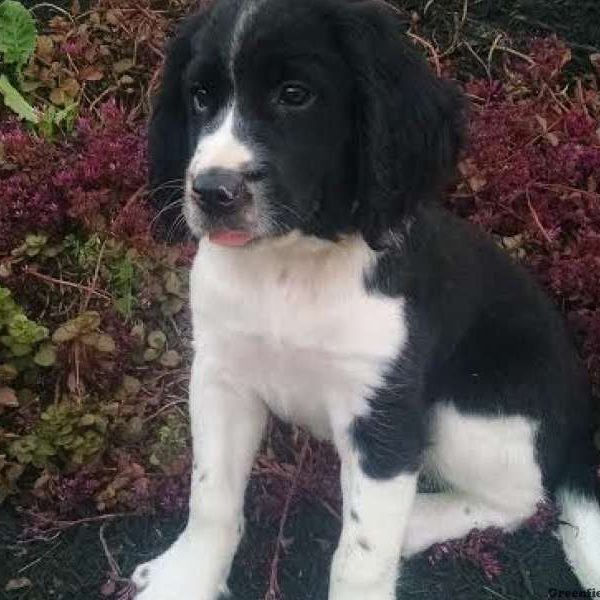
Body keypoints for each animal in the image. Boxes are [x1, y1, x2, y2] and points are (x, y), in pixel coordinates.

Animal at [132, 0, 600, 596]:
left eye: (295, 94)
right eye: (200, 97)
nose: (213, 192)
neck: (289, 265)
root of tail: (583, 414)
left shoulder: (384, 413)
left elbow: (362, 552)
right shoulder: (221, 375)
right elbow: (211, 496)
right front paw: (186, 577)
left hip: (471, 409)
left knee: (525, 498)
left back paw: (417, 520)